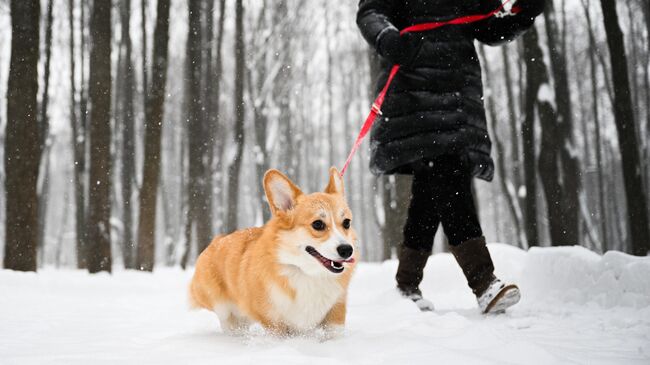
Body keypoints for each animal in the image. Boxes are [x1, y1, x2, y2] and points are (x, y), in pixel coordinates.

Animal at [187, 166, 360, 336]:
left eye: (346, 223)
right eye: (318, 224)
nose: (347, 250)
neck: (307, 274)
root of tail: (216, 241)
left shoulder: (336, 311)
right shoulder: (274, 323)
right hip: (224, 310)